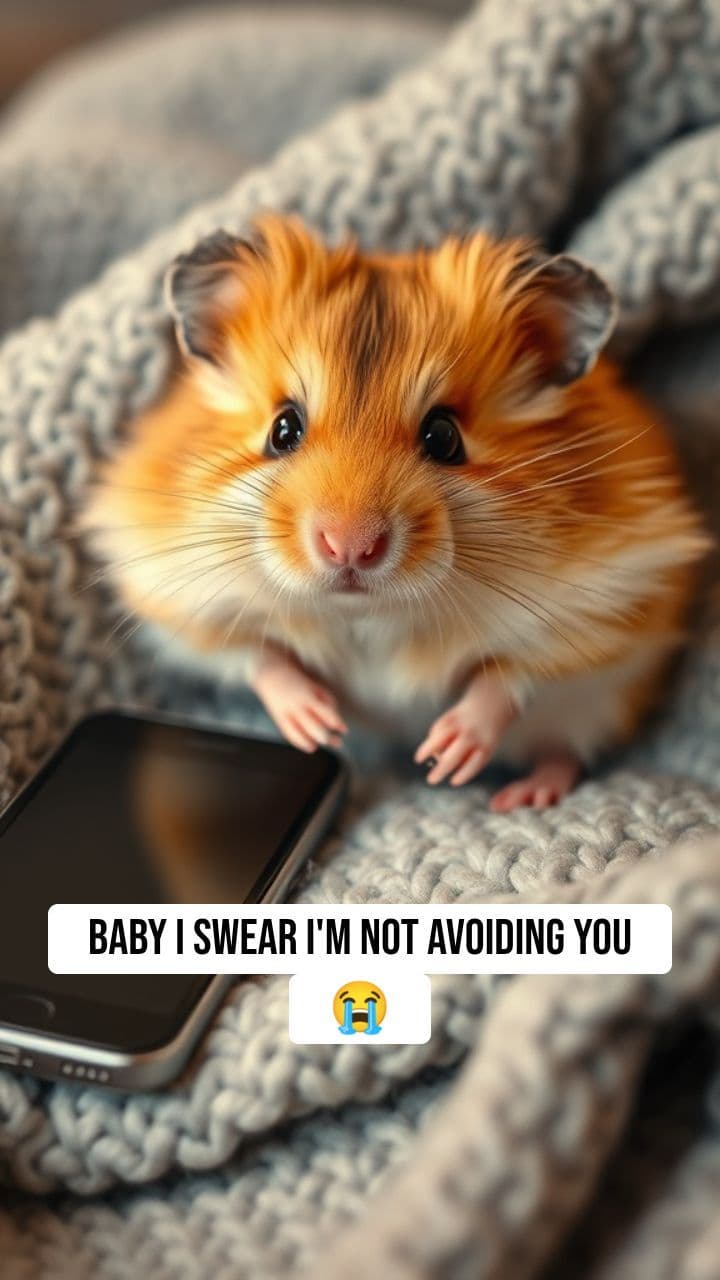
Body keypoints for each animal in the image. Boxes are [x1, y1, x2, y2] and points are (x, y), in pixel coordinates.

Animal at [85, 215, 709, 811]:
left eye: (444, 436)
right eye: (283, 429)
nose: (349, 547)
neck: (368, 614)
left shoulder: (606, 609)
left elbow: (508, 676)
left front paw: (445, 755)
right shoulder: (182, 602)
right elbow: (262, 658)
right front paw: (319, 726)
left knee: (563, 752)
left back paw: (524, 796)